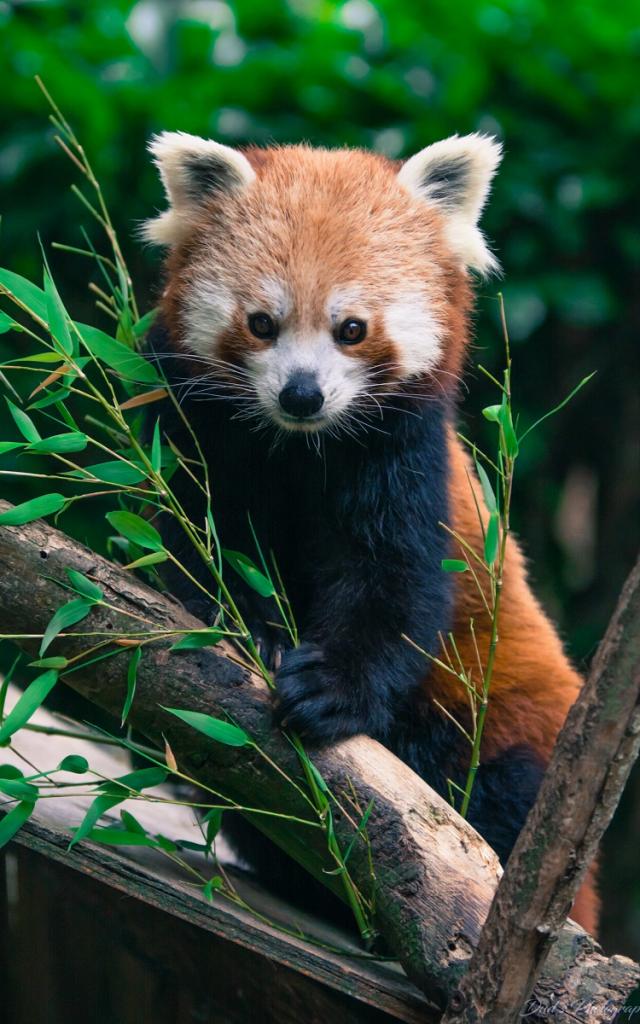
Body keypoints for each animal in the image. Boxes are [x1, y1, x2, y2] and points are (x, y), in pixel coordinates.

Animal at [142, 130, 598, 937]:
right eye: (262, 323)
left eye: (350, 329)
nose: (302, 394)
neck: (300, 448)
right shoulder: (196, 434)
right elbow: (193, 542)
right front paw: (245, 618)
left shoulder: (406, 459)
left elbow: (397, 587)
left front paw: (330, 688)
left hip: (508, 728)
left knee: (500, 796)